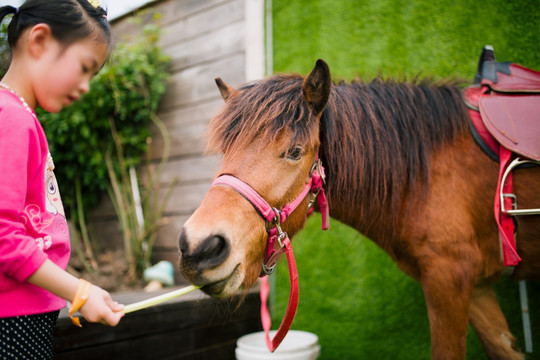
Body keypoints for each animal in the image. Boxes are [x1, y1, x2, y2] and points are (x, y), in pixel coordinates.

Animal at [177, 59, 540, 360]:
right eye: (226, 150)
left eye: (294, 152)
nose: (199, 247)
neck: (424, 175)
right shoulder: (476, 287)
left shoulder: (449, 279)